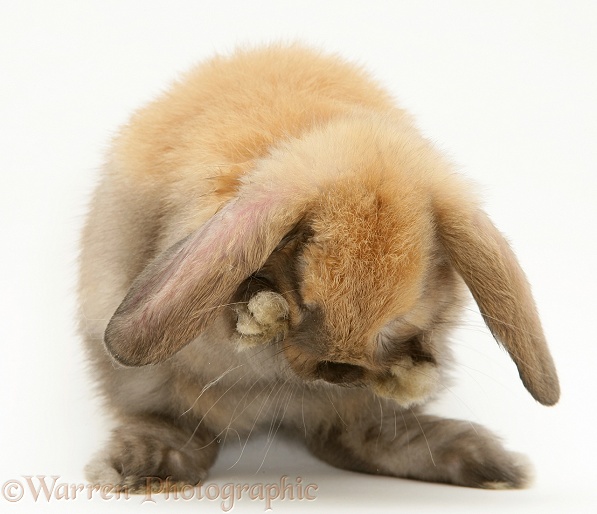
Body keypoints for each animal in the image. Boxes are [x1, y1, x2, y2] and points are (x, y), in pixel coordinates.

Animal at [79, 45, 560, 492]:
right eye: (305, 299)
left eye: (399, 317)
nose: (338, 374)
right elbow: (230, 324)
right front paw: (262, 314)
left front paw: (414, 374)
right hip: (146, 383)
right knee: (181, 425)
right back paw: (148, 467)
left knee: (353, 436)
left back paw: (488, 464)